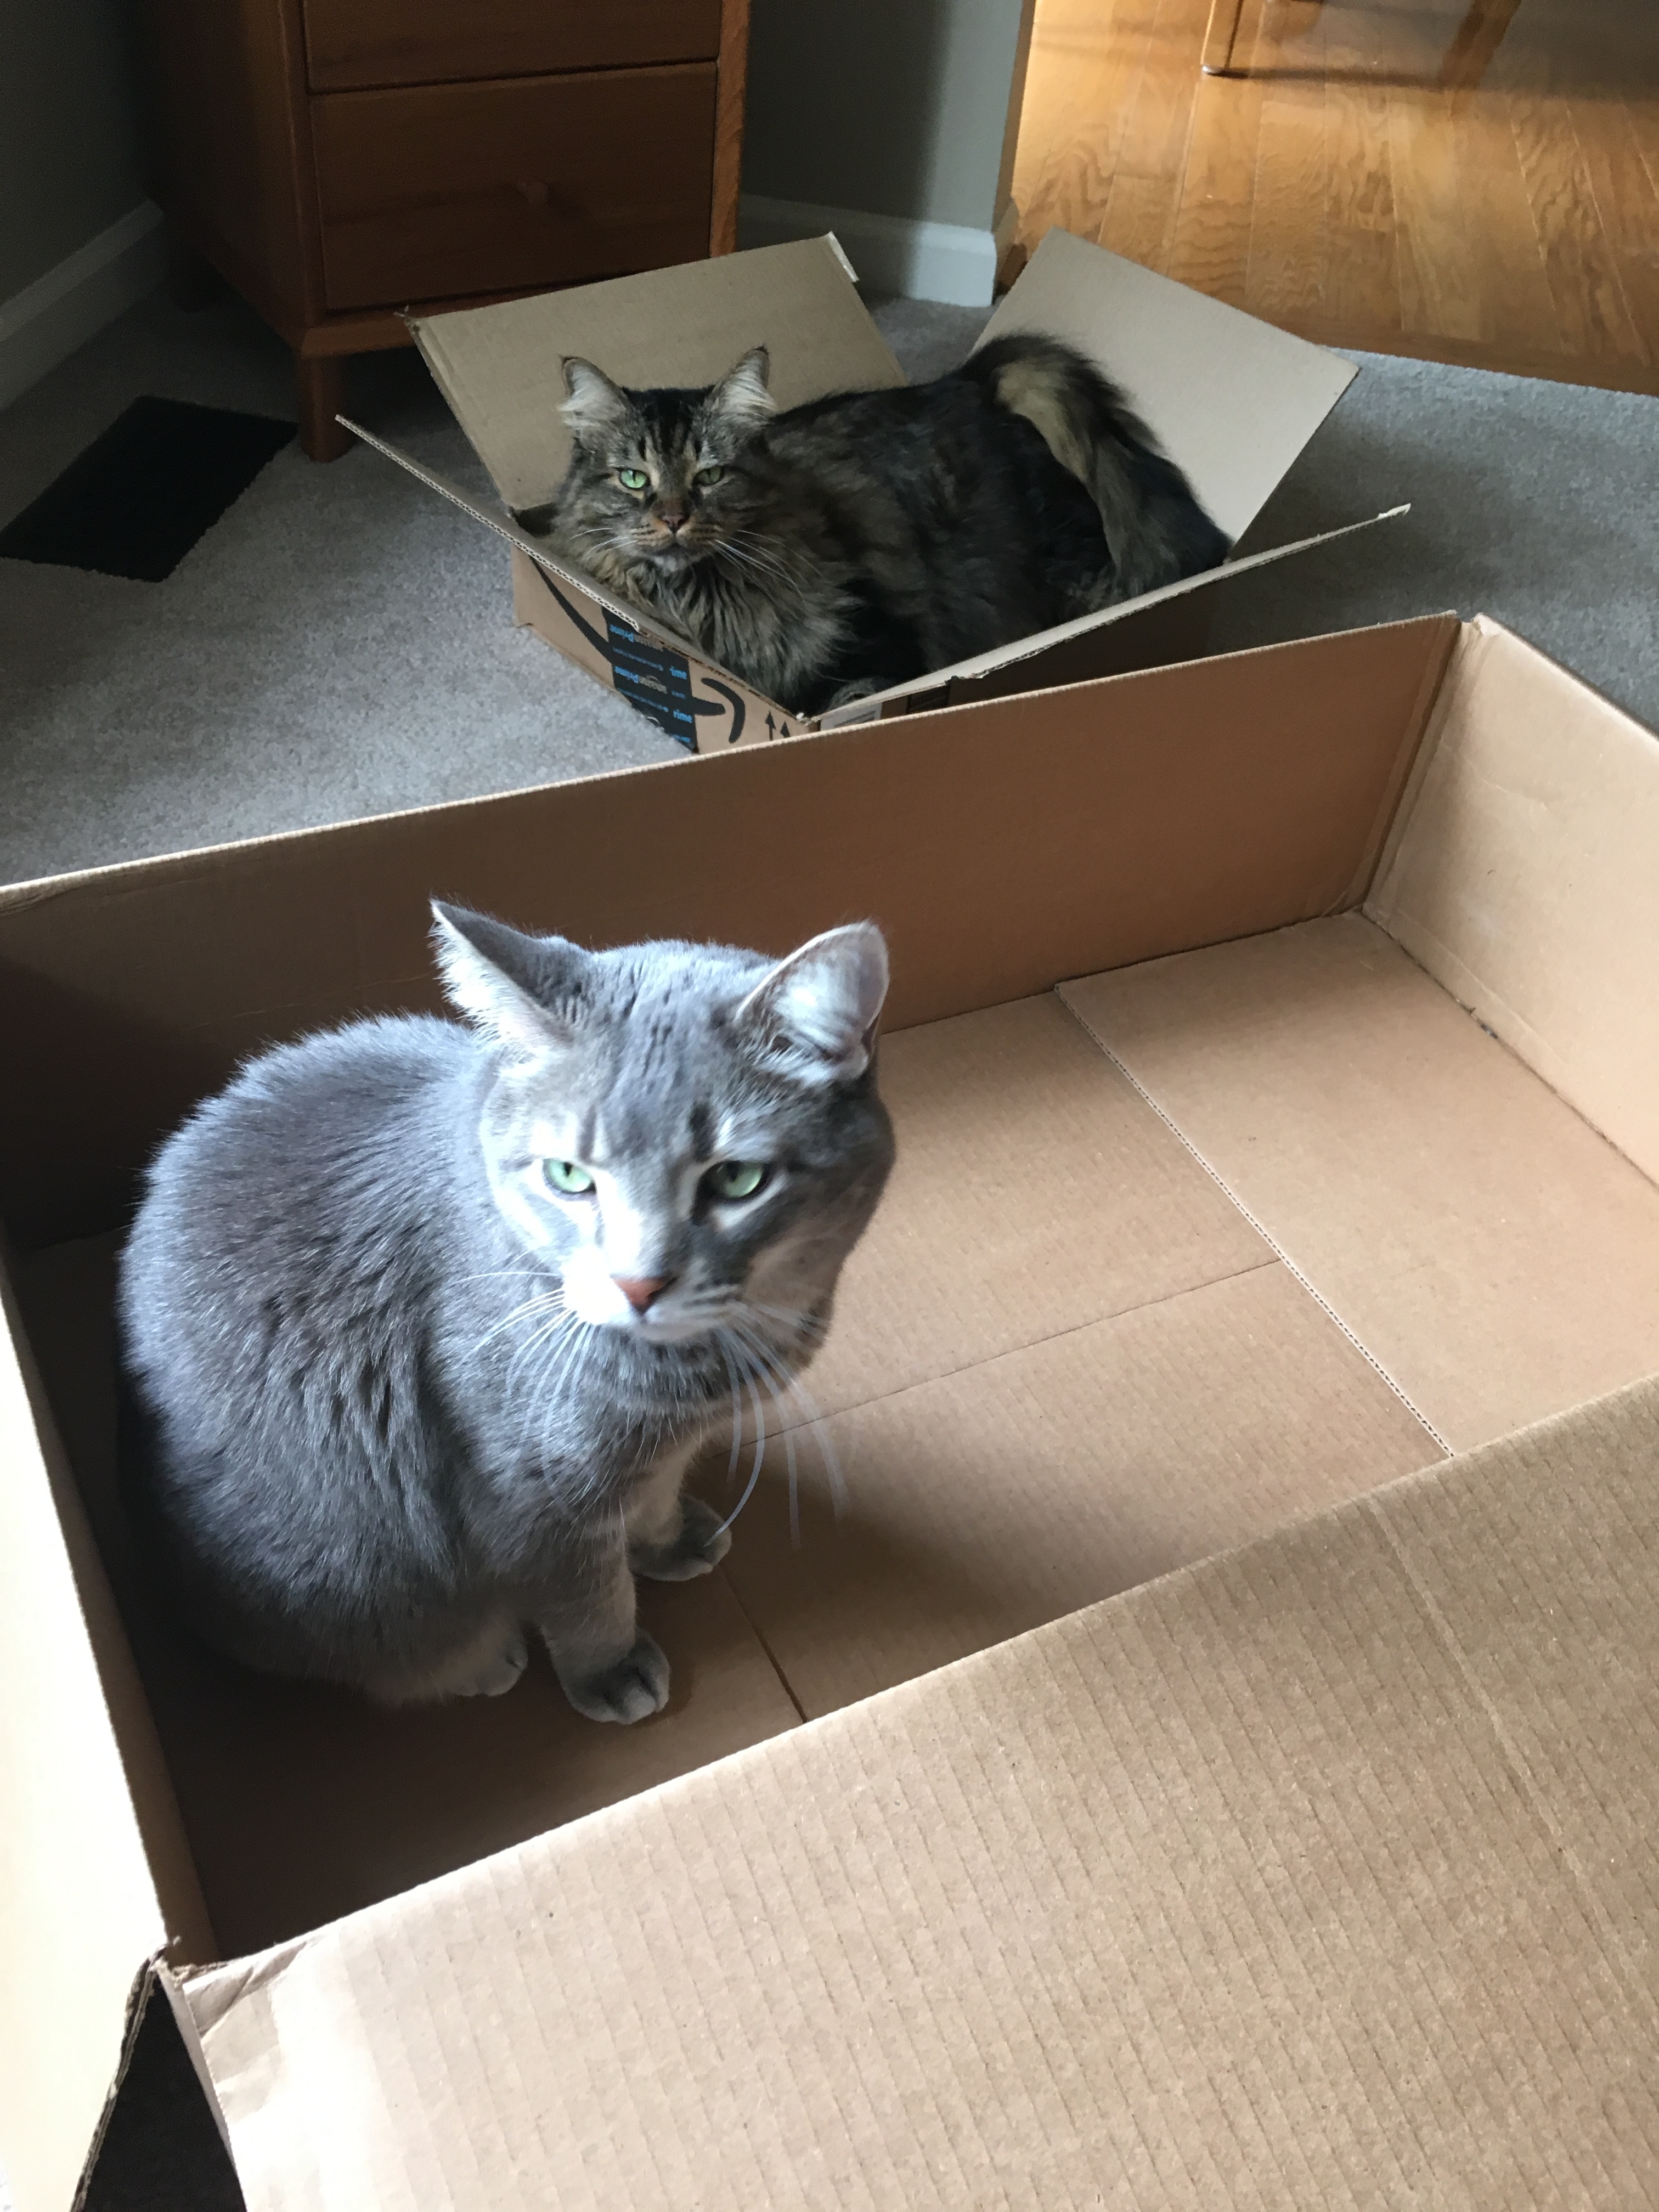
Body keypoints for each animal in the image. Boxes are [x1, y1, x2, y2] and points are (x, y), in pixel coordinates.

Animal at [117, 907, 898, 1716]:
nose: (638, 1284)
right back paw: (481, 1663)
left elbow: (654, 1497)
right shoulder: (531, 1494)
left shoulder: (660, 1452)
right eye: (568, 1175)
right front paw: (610, 1670)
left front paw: (669, 1539)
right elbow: (587, 1595)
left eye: (738, 1179)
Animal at [520, 331, 1238, 712]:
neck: (698, 606)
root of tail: (967, 381)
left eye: (711, 476)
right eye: (634, 479)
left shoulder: (876, 653)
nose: (672, 520)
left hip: (1080, 584)